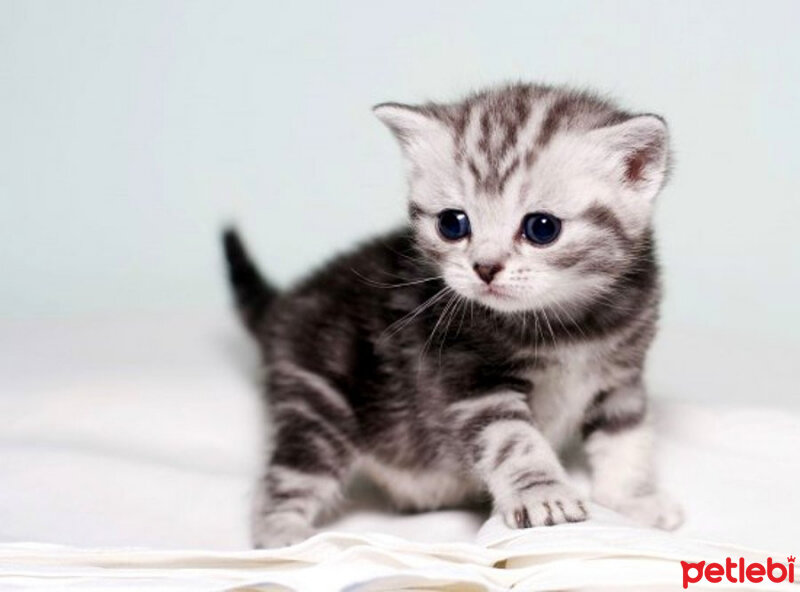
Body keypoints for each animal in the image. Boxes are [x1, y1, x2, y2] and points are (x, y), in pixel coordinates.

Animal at [223, 83, 680, 552]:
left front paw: (632, 500)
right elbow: (513, 440)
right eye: (452, 224)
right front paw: (542, 494)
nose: (485, 267)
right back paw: (287, 538)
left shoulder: (621, 375)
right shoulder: (472, 383)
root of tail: (285, 303)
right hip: (319, 403)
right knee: (287, 476)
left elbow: (626, 436)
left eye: (542, 228)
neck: (567, 323)